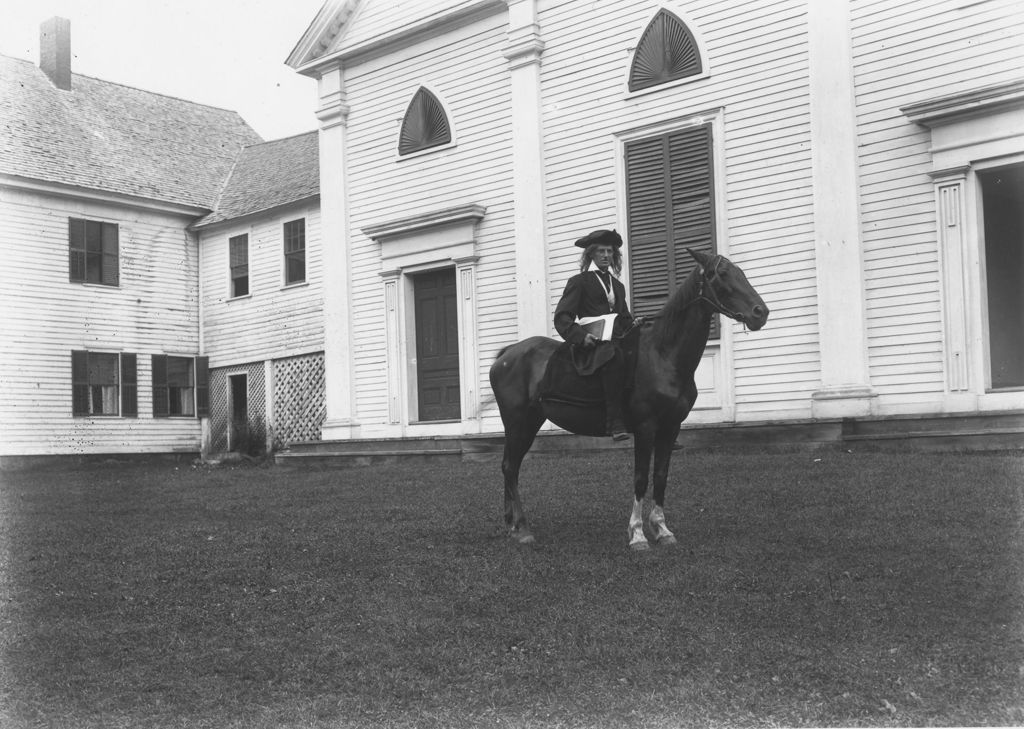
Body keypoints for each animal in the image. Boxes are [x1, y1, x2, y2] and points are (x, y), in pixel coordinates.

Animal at [489, 247, 770, 548]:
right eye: (722, 274)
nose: (760, 312)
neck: (663, 355)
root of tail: (506, 355)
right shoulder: (646, 428)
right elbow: (641, 479)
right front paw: (637, 534)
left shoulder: (670, 428)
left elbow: (661, 477)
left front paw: (662, 529)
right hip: (518, 423)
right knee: (510, 467)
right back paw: (522, 528)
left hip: (530, 422)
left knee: (511, 466)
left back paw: (513, 525)